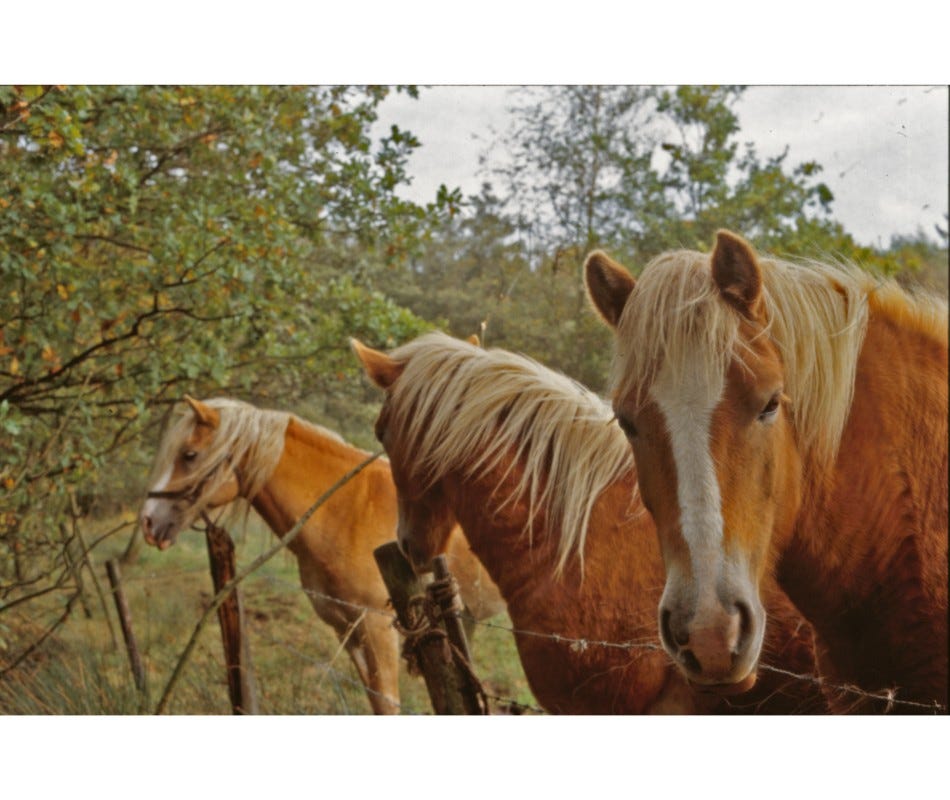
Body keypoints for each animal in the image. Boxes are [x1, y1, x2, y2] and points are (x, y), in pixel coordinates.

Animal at [139, 396, 506, 716]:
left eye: (189, 454)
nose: (148, 522)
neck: (347, 509)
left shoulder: (378, 629)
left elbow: (388, 703)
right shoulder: (347, 631)